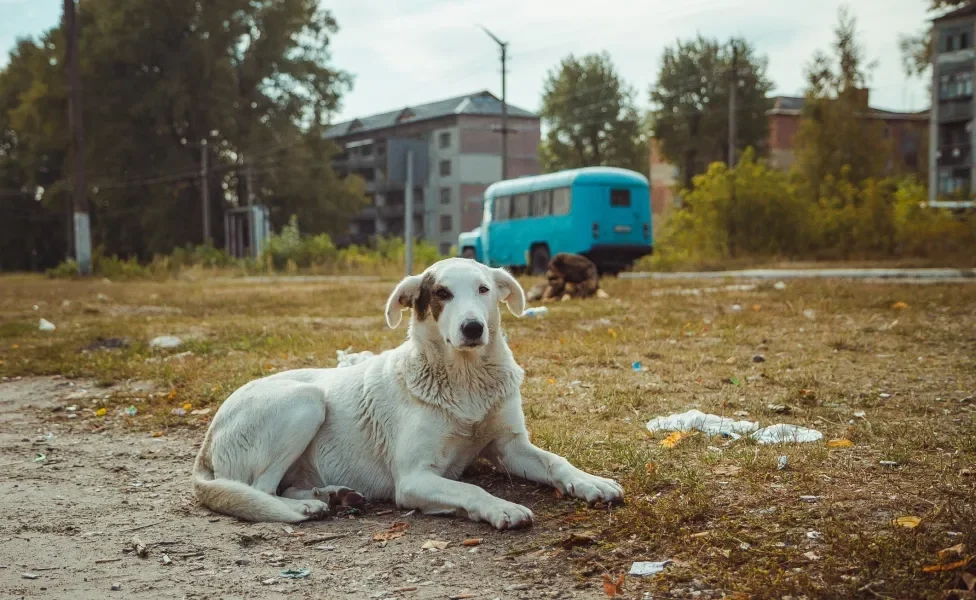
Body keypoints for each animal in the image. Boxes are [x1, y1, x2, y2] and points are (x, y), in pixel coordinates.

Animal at [193, 258, 624, 528]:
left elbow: (556, 462)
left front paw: (591, 482)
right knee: (260, 490)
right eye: (442, 294)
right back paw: (306, 507)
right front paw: (501, 507)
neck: (465, 380)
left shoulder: (510, 446)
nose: (473, 328)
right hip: (305, 402)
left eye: (483, 289)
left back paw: (333, 495)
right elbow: (469, 487)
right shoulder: (415, 478)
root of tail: (207, 441)